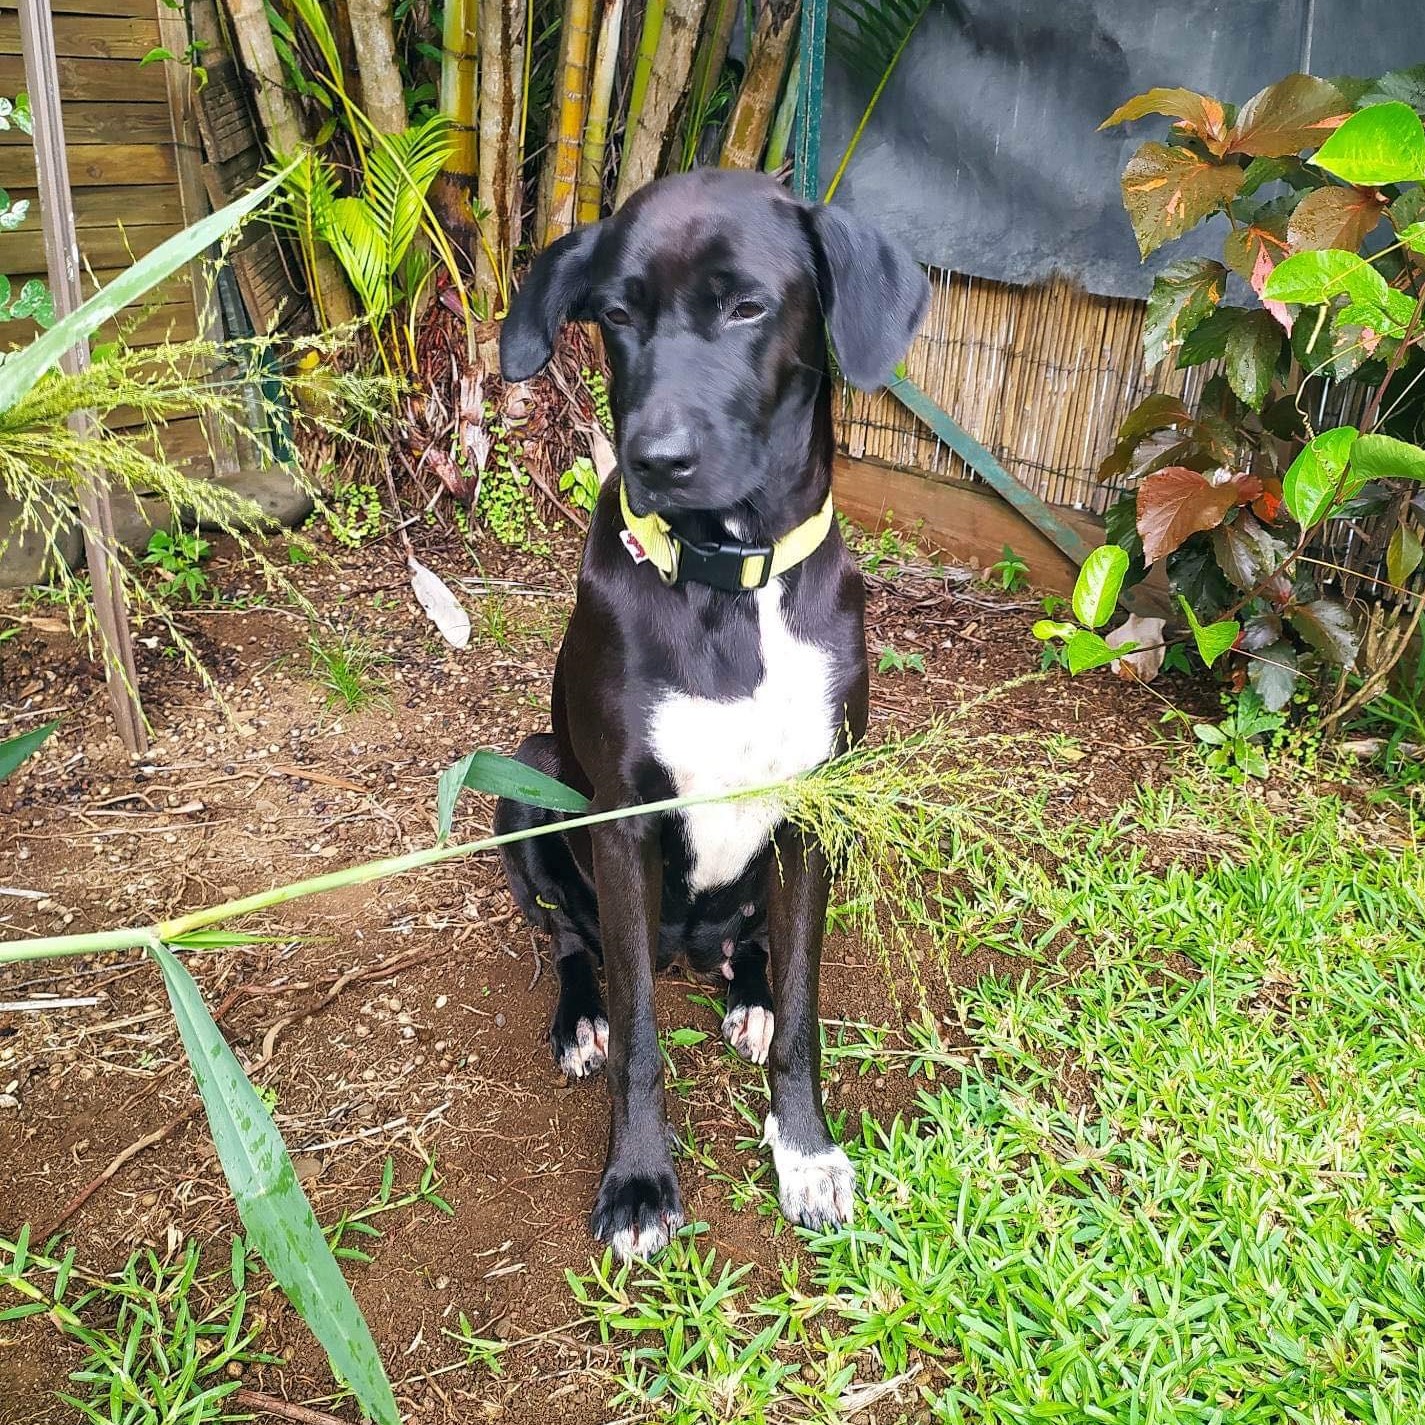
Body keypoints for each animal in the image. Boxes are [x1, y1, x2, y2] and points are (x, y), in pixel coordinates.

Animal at [495, 169, 929, 1259]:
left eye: (746, 307)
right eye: (614, 315)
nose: (655, 457)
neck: (732, 582)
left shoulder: (819, 808)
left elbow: (807, 1007)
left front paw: (804, 1150)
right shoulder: (622, 821)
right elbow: (643, 1035)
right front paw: (639, 1181)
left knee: (758, 947)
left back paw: (748, 991)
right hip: (523, 780)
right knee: (576, 945)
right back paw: (581, 1017)